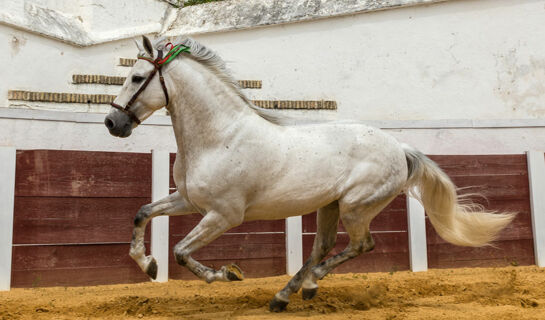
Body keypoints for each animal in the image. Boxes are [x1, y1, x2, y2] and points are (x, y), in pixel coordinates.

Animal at [105, 36, 516, 312]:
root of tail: (400, 148)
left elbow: (180, 251)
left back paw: (309, 286)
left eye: (137, 77)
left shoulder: (223, 215)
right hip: (330, 206)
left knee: (361, 245)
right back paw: (284, 296)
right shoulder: (189, 201)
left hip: (356, 207)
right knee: (322, 246)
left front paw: (227, 274)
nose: (112, 123)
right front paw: (147, 264)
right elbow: (143, 213)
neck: (219, 136)